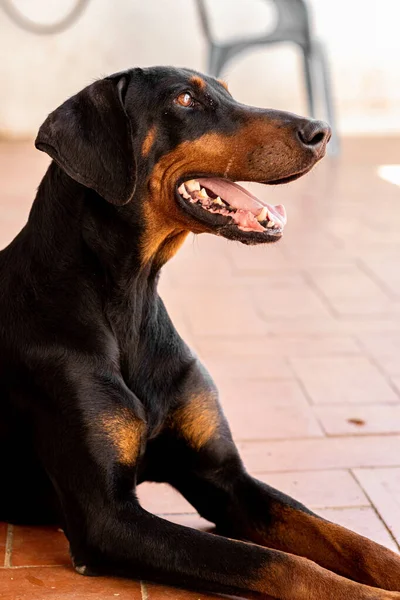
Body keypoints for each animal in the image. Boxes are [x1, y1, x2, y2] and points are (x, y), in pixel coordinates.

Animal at [0, 68, 400, 596]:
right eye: (186, 99)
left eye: (228, 92)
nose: (321, 131)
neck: (130, 303)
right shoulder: (107, 518)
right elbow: (282, 565)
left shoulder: (223, 478)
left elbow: (356, 543)